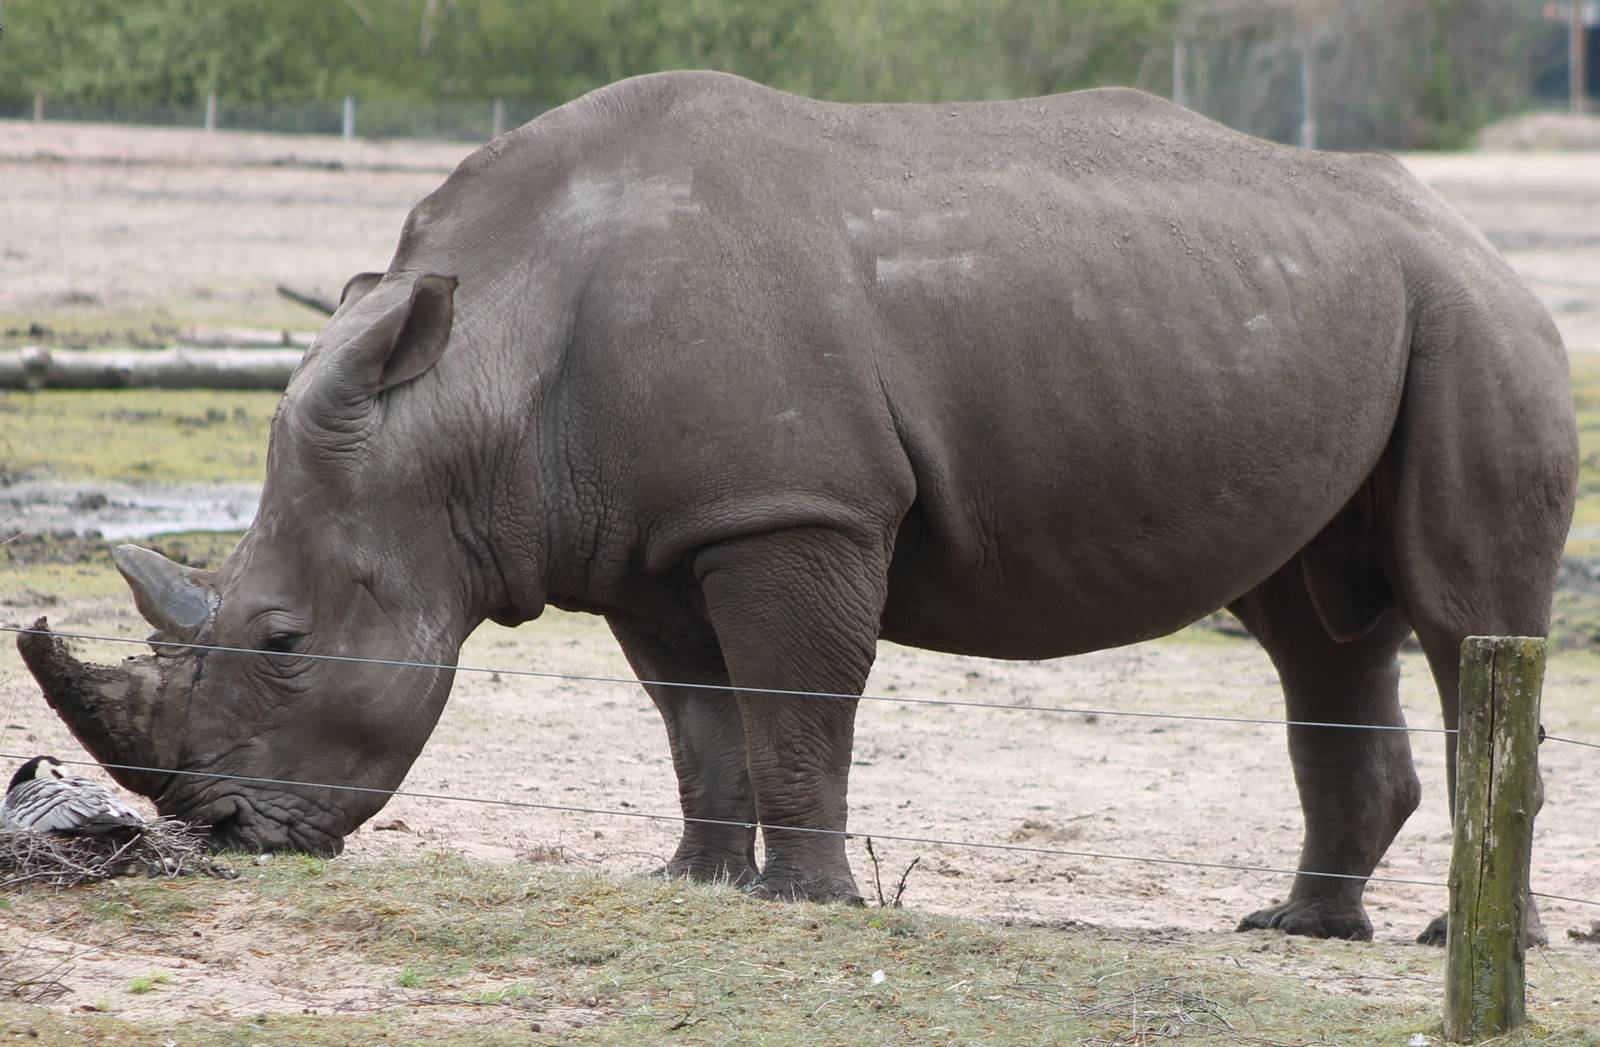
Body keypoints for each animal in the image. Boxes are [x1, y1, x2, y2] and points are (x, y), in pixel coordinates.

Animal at [17, 71, 1576, 942]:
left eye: (284, 642)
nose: (222, 832)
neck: (478, 382)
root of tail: (1469, 232)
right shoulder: (648, 536)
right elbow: (695, 717)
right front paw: (693, 884)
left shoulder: (790, 509)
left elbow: (794, 700)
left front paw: (807, 905)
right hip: (1338, 310)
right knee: (1312, 626)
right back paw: (1301, 929)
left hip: (1481, 321)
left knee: (1464, 625)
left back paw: (1461, 934)